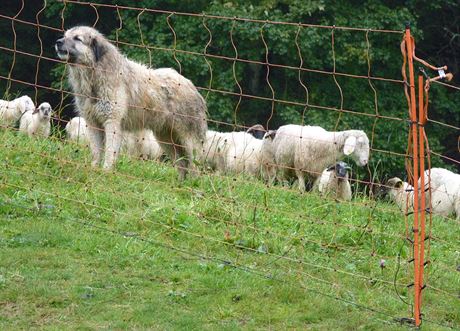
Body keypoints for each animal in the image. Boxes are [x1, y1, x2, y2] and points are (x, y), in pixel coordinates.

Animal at [54, 26, 206, 180]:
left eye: (77, 38)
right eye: (65, 36)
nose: (58, 42)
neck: (94, 74)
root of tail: (191, 86)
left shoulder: (112, 122)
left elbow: (109, 152)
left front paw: (106, 172)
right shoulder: (93, 123)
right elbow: (96, 151)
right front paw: (93, 169)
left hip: (187, 140)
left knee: (194, 165)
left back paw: (192, 184)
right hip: (167, 138)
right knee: (182, 163)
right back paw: (180, 183)